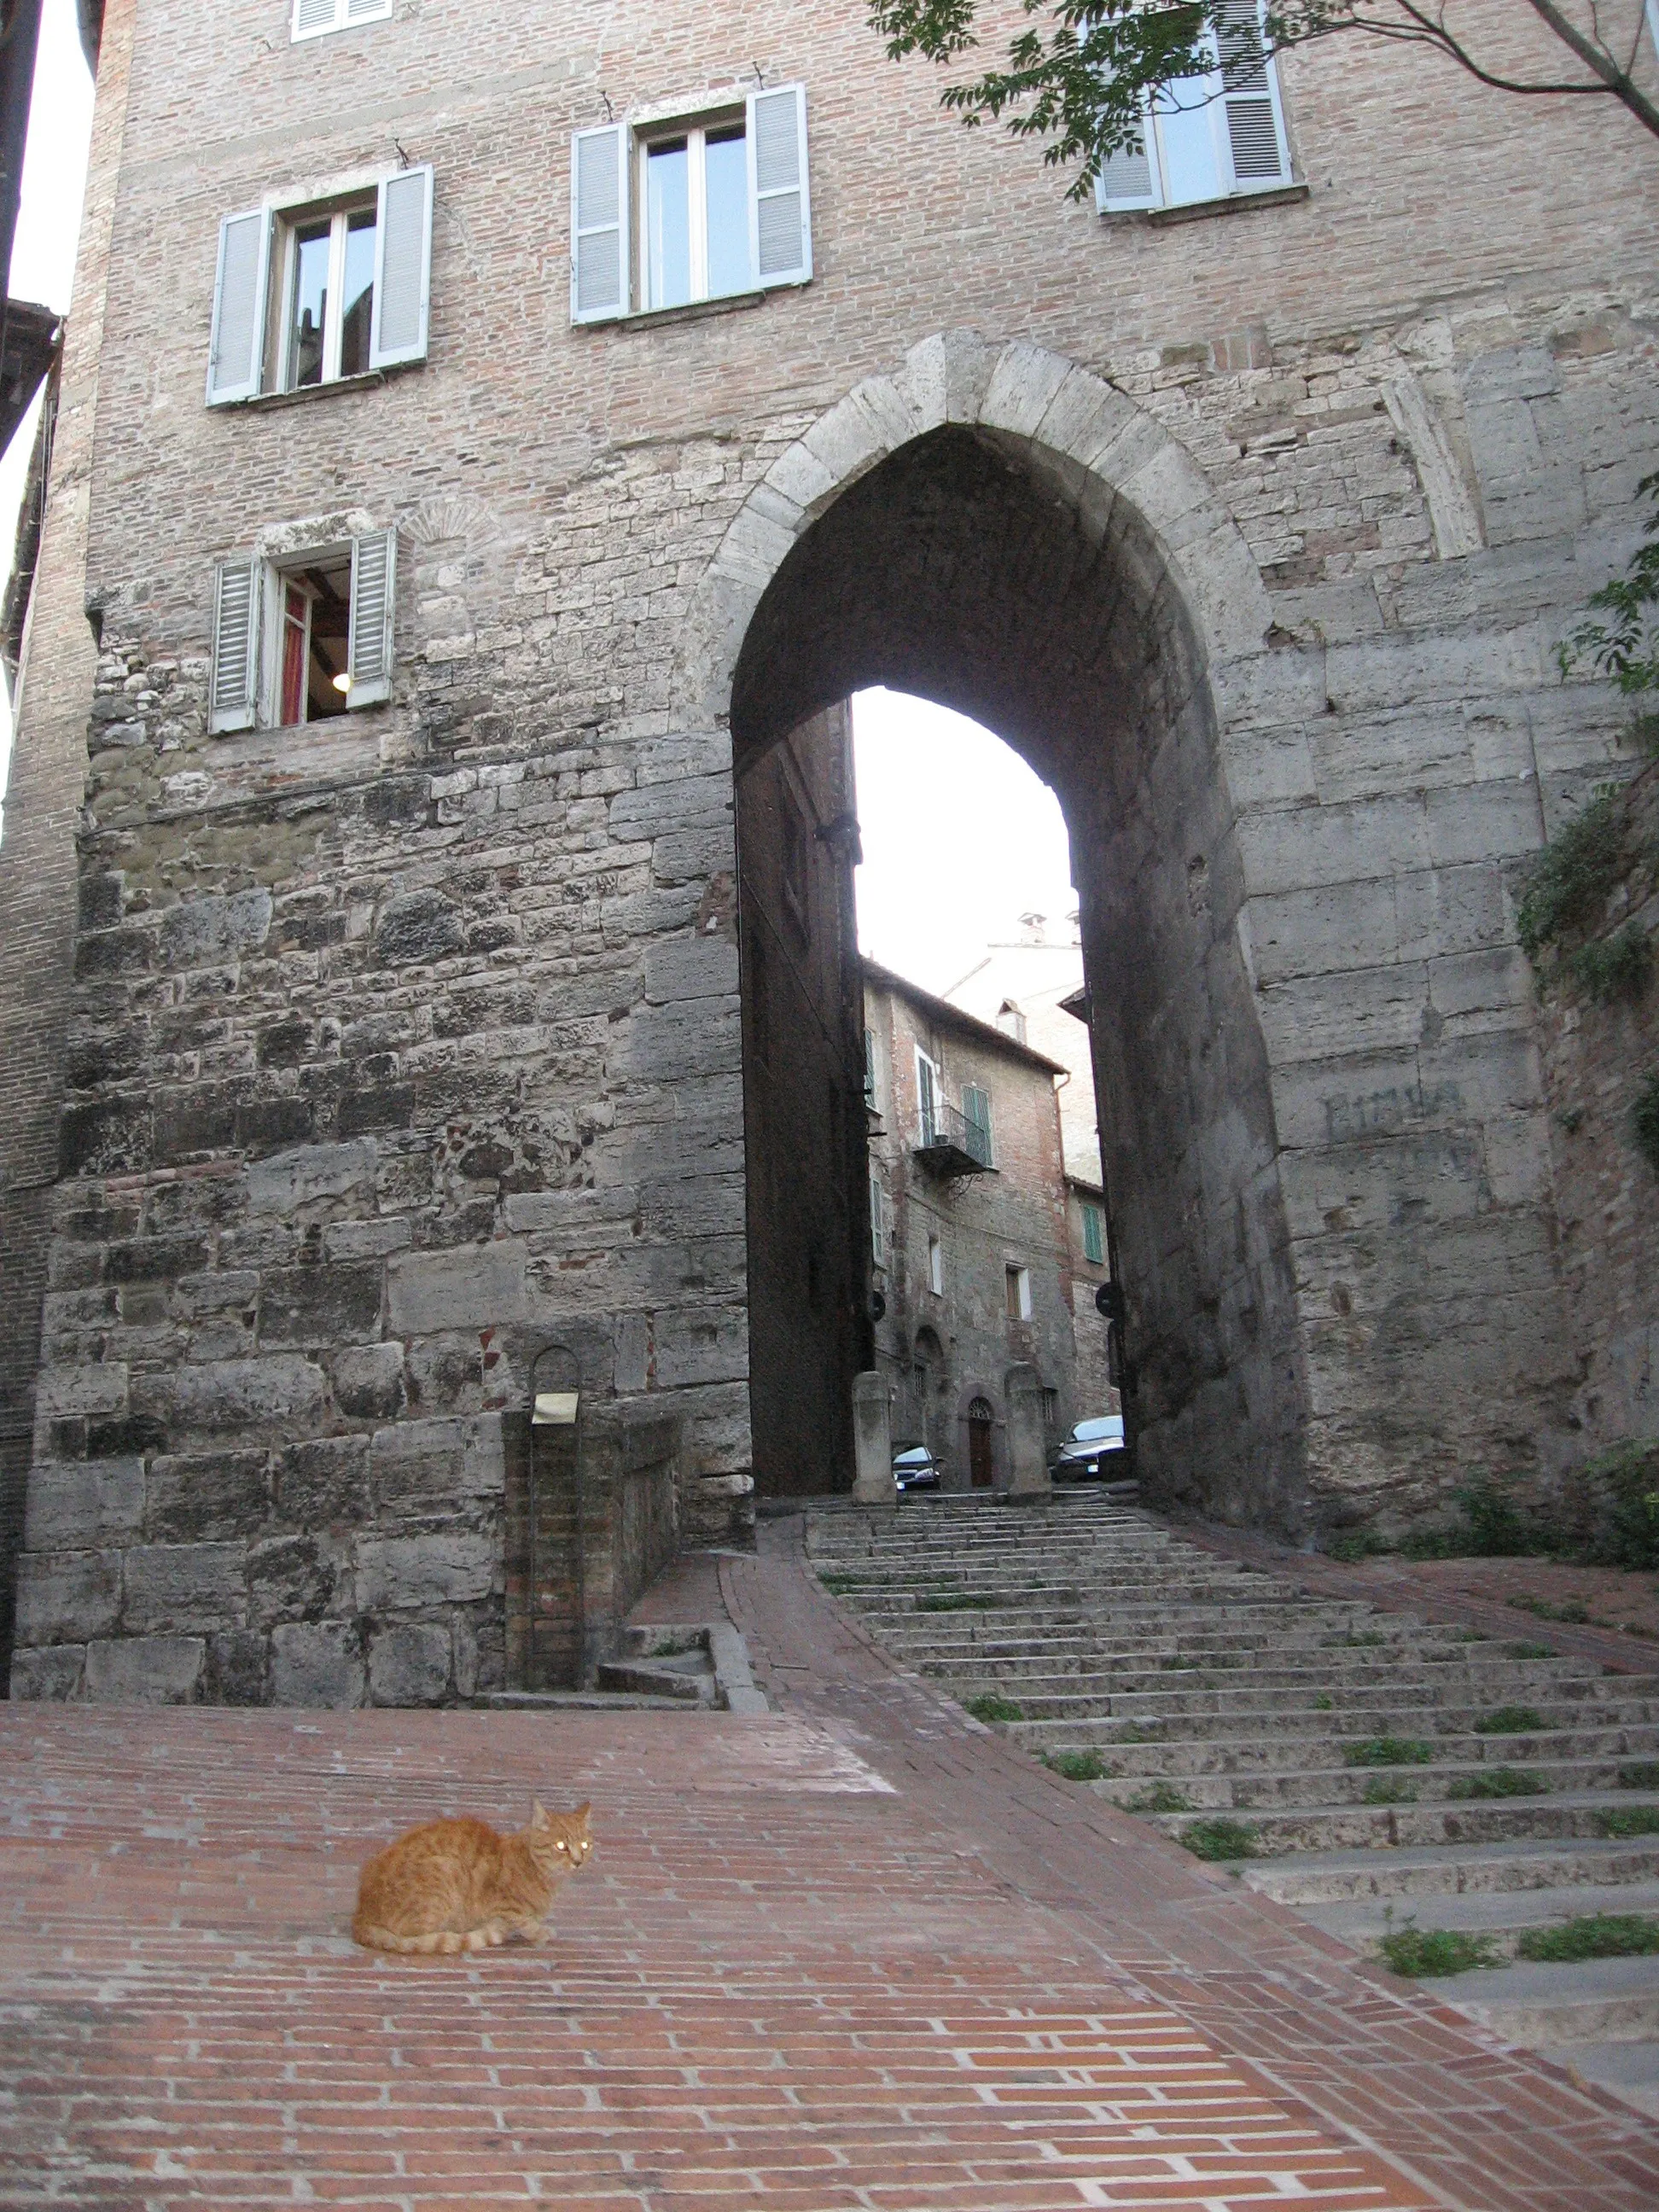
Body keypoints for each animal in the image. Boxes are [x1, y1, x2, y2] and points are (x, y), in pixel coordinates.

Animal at [346, 1796, 592, 1955]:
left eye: (585, 1845)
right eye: (561, 1846)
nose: (578, 1861)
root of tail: (360, 1915)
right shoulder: (504, 1906)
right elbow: (524, 1922)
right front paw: (541, 1932)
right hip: (446, 1870)